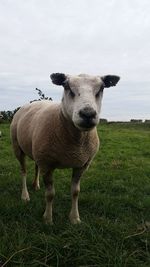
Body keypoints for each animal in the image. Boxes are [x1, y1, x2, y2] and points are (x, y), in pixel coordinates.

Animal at [10, 73, 120, 224]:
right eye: (66, 86)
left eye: (102, 88)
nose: (87, 114)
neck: (75, 144)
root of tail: (31, 103)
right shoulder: (47, 165)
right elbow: (50, 194)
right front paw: (48, 219)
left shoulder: (82, 165)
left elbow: (75, 192)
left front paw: (74, 218)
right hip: (18, 147)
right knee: (23, 171)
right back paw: (25, 195)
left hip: (37, 151)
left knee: (36, 167)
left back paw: (36, 185)